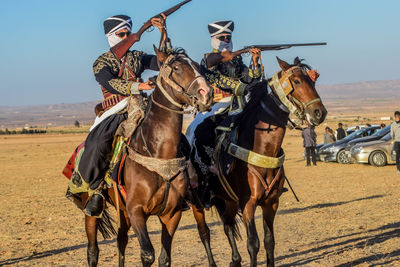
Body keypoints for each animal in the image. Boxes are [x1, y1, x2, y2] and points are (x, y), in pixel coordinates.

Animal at [83, 47, 214, 266]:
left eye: (197, 65)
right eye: (176, 68)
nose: (207, 94)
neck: (158, 153)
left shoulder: (171, 214)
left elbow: (164, 257)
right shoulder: (136, 211)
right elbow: (147, 254)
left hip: (125, 212)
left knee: (122, 239)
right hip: (93, 211)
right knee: (93, 250)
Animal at [191, 57, 328, 267]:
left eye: (313, 81)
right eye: (296, 81)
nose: (319, 113)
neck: (263, 149)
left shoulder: (271, 203)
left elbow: (269, 241)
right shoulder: (248, 204)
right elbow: (253, 243)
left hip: (227, 200)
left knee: (228, 226)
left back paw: (235, 260)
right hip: (197, 203)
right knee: (204, 233)